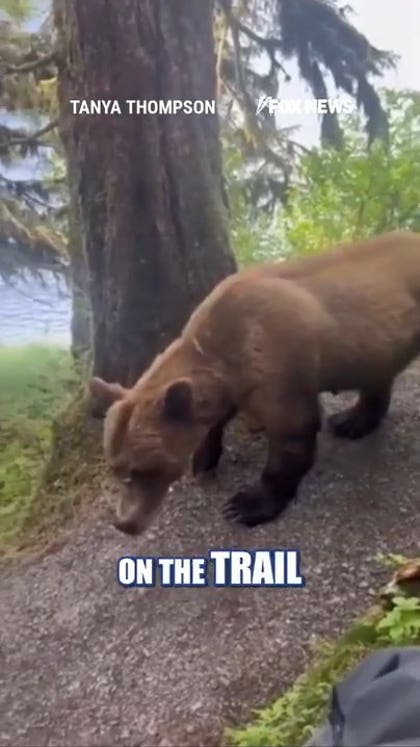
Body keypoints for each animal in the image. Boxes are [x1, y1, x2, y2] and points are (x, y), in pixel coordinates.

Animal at [90, 229, 420, 536]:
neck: (219, 352)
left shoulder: (278, 363)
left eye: (141, 470)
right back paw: (351, 421)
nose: (124, 523)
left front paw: (246, 505)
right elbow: (217, 417)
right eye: (117, 468)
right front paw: (204, 458)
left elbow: (292, 433)